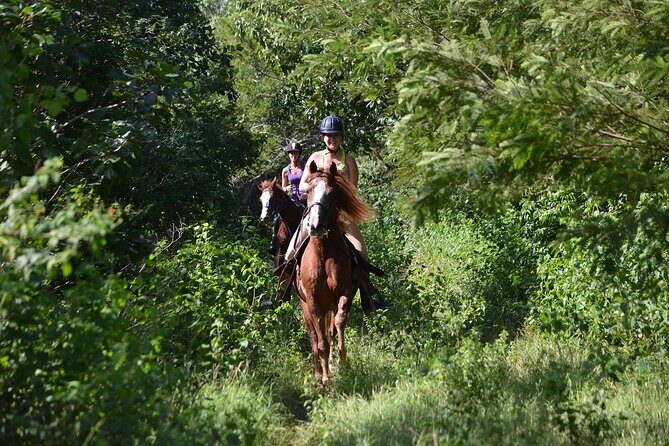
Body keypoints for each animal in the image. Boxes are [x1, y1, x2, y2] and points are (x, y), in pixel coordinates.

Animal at [296, 161, 374, 383]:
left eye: (332, 193)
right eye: (308, 191)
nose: (315, 225)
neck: (323, 255)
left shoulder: (345, 291)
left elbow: (338, 323)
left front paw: (341, 360)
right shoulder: (313, 302)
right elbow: (320, 340)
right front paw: (325, 377)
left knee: (329, 328)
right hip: (306, 307)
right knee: (314, 336)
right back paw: (317, 372)